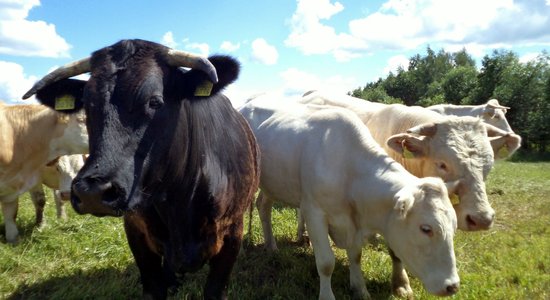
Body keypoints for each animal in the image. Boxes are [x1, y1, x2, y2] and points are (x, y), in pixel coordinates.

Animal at [0, 102, 88, 243]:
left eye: (81, 168)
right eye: (58, 168)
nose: (68, 194)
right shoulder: (35, 178)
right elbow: (40, 200)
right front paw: (40, 225)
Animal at [22, 39, 260, 300]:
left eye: (154, 101)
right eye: (87, 105)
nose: (92, 192)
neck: (178, 202)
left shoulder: (231, 235)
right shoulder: (137, 233)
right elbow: (155, 287)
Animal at [242, 95, 462, 298]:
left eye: (454, 226)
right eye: (426, 228)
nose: (452, 286)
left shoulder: (354, 220)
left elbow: (355, 255)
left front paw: (360, 289)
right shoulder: (313, 212)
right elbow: (326, 263)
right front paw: (327, 296)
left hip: (274, 184)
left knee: (263, 206)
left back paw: (271, 246)